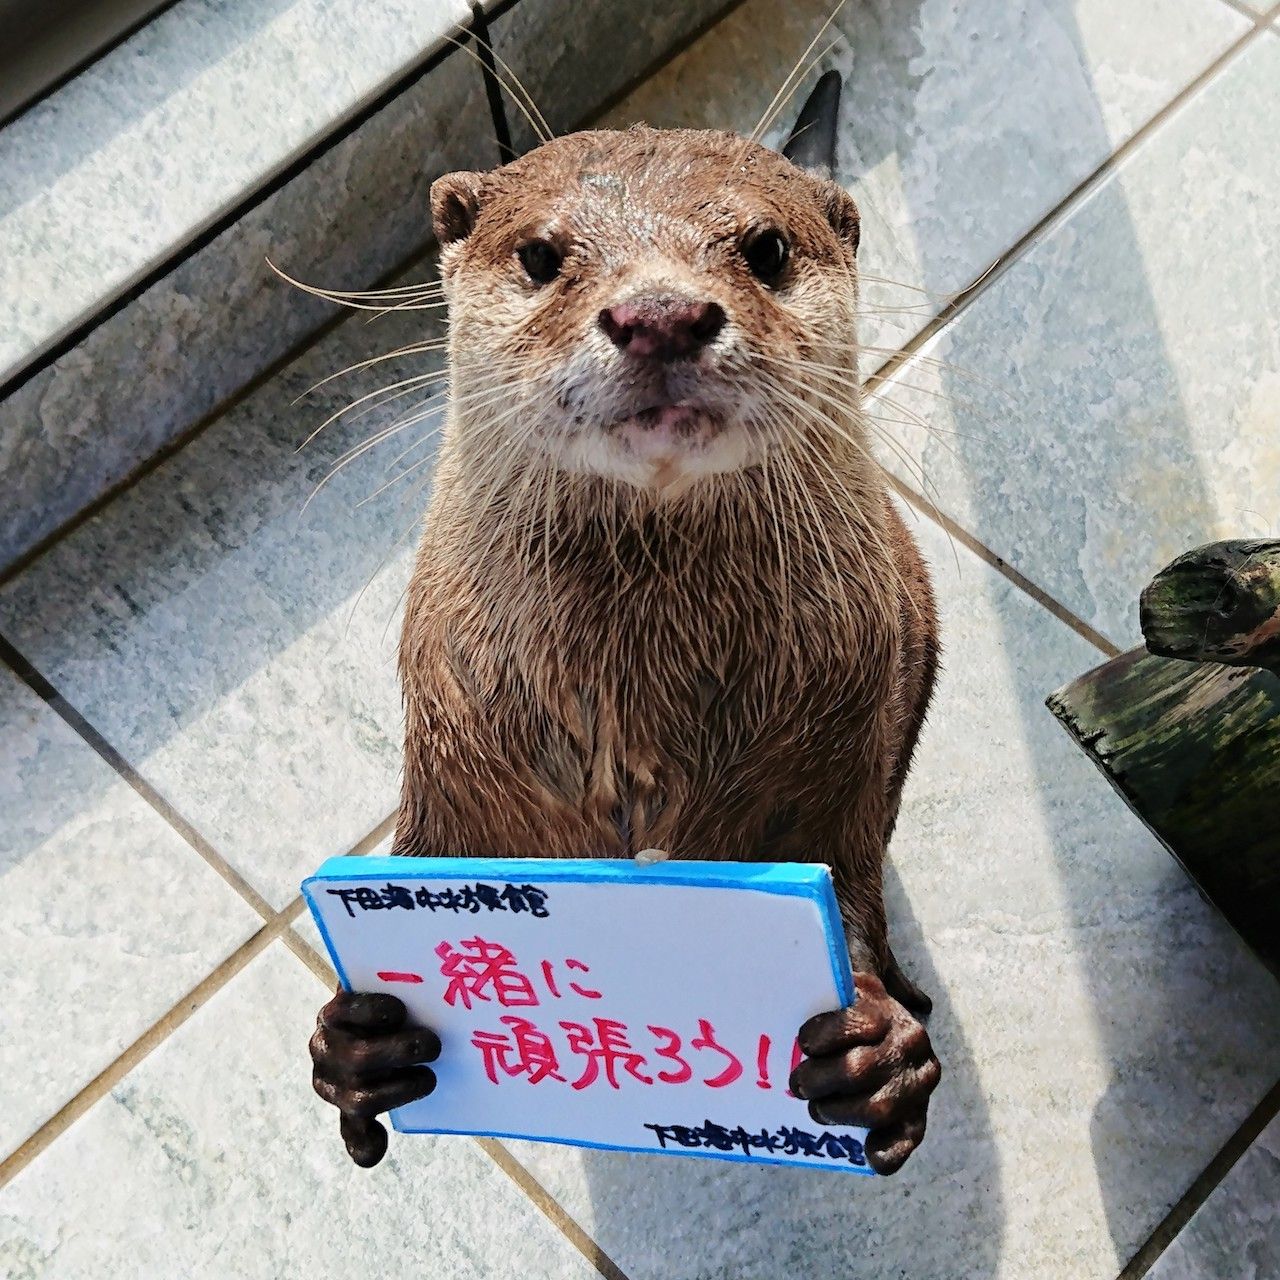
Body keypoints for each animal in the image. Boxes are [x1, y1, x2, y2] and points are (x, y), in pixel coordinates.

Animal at [309, 74, 942, 1172]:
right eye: (540, 254)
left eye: (765, 247)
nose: (660, 312)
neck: (635, 711)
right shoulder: (450, 768)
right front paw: (358, 1041)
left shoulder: (843, 754)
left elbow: (851, 882)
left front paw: (876, 1049)